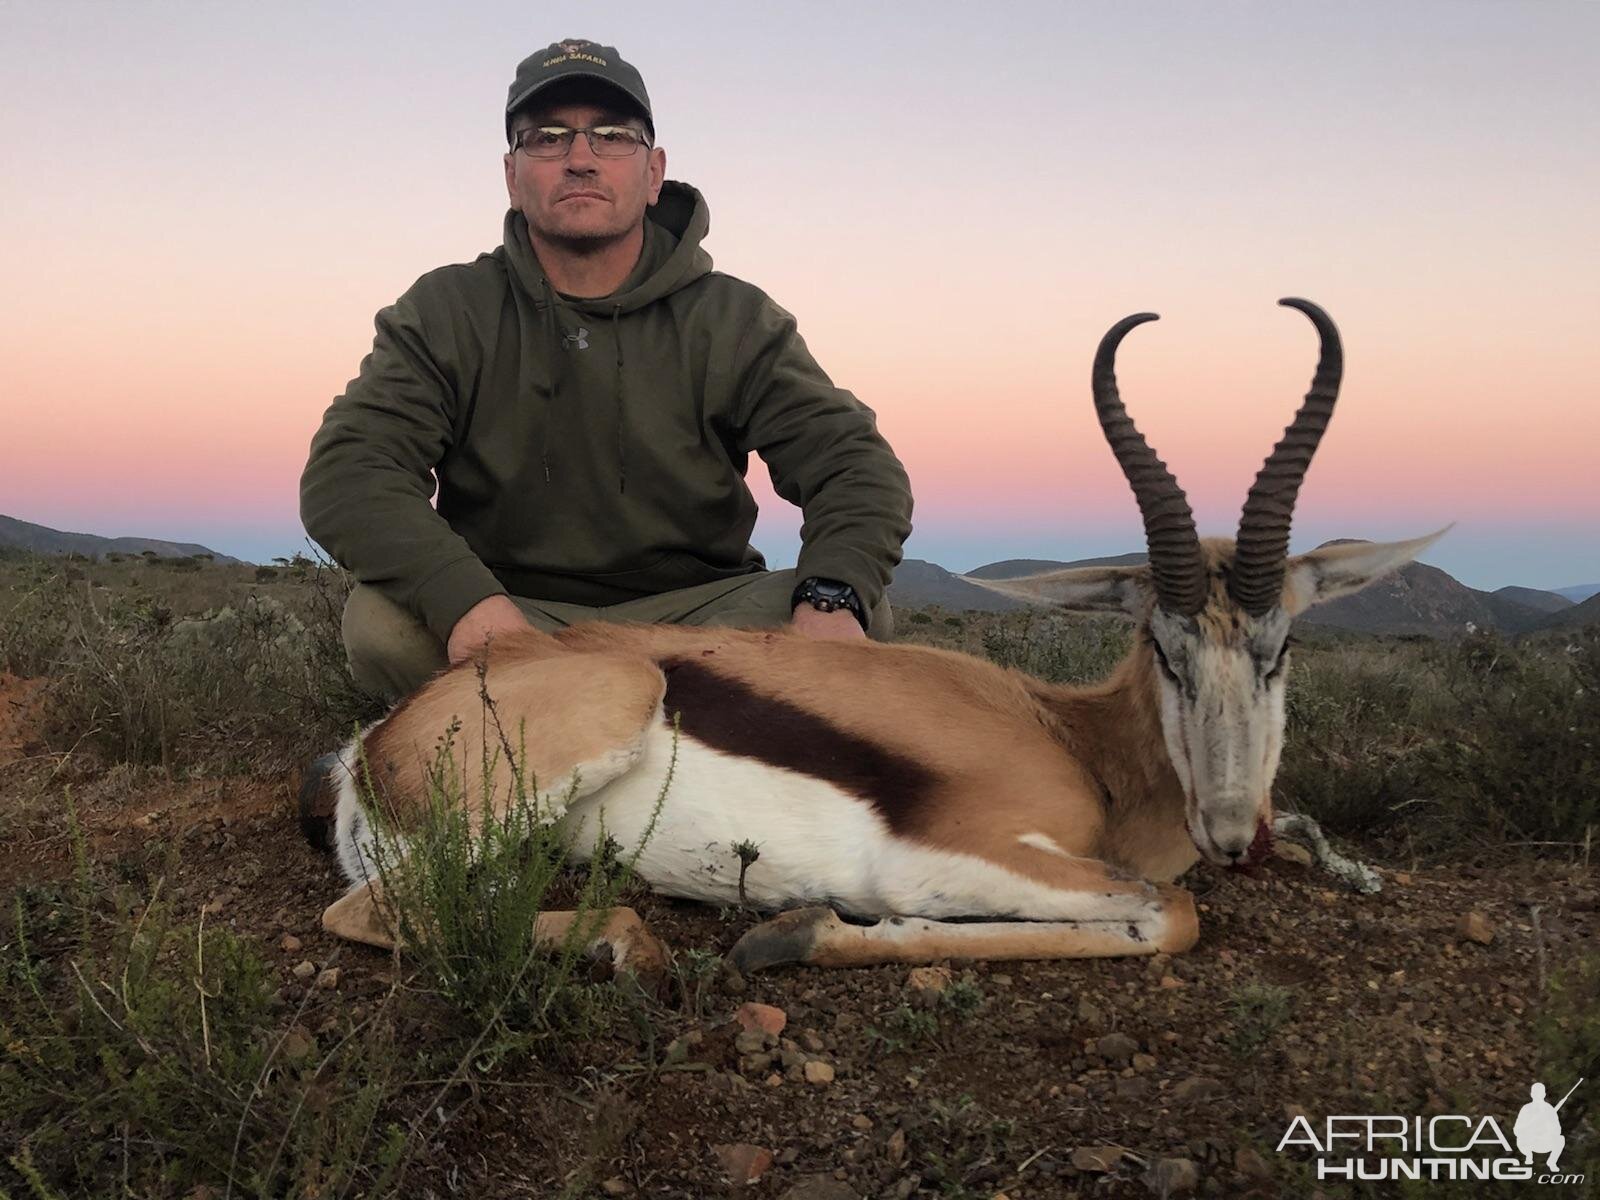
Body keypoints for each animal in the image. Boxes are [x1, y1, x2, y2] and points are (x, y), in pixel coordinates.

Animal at [305, 299, 1446, 979]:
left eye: (1280, 647)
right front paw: (797, 929)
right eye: (1163, 646)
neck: (1082, 749)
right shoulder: (954, 852)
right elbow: (1165, 911)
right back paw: (638, 945)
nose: (1230, 831)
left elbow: (1163, 905)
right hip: (593, 723)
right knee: (372, 915)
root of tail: (375, 747)